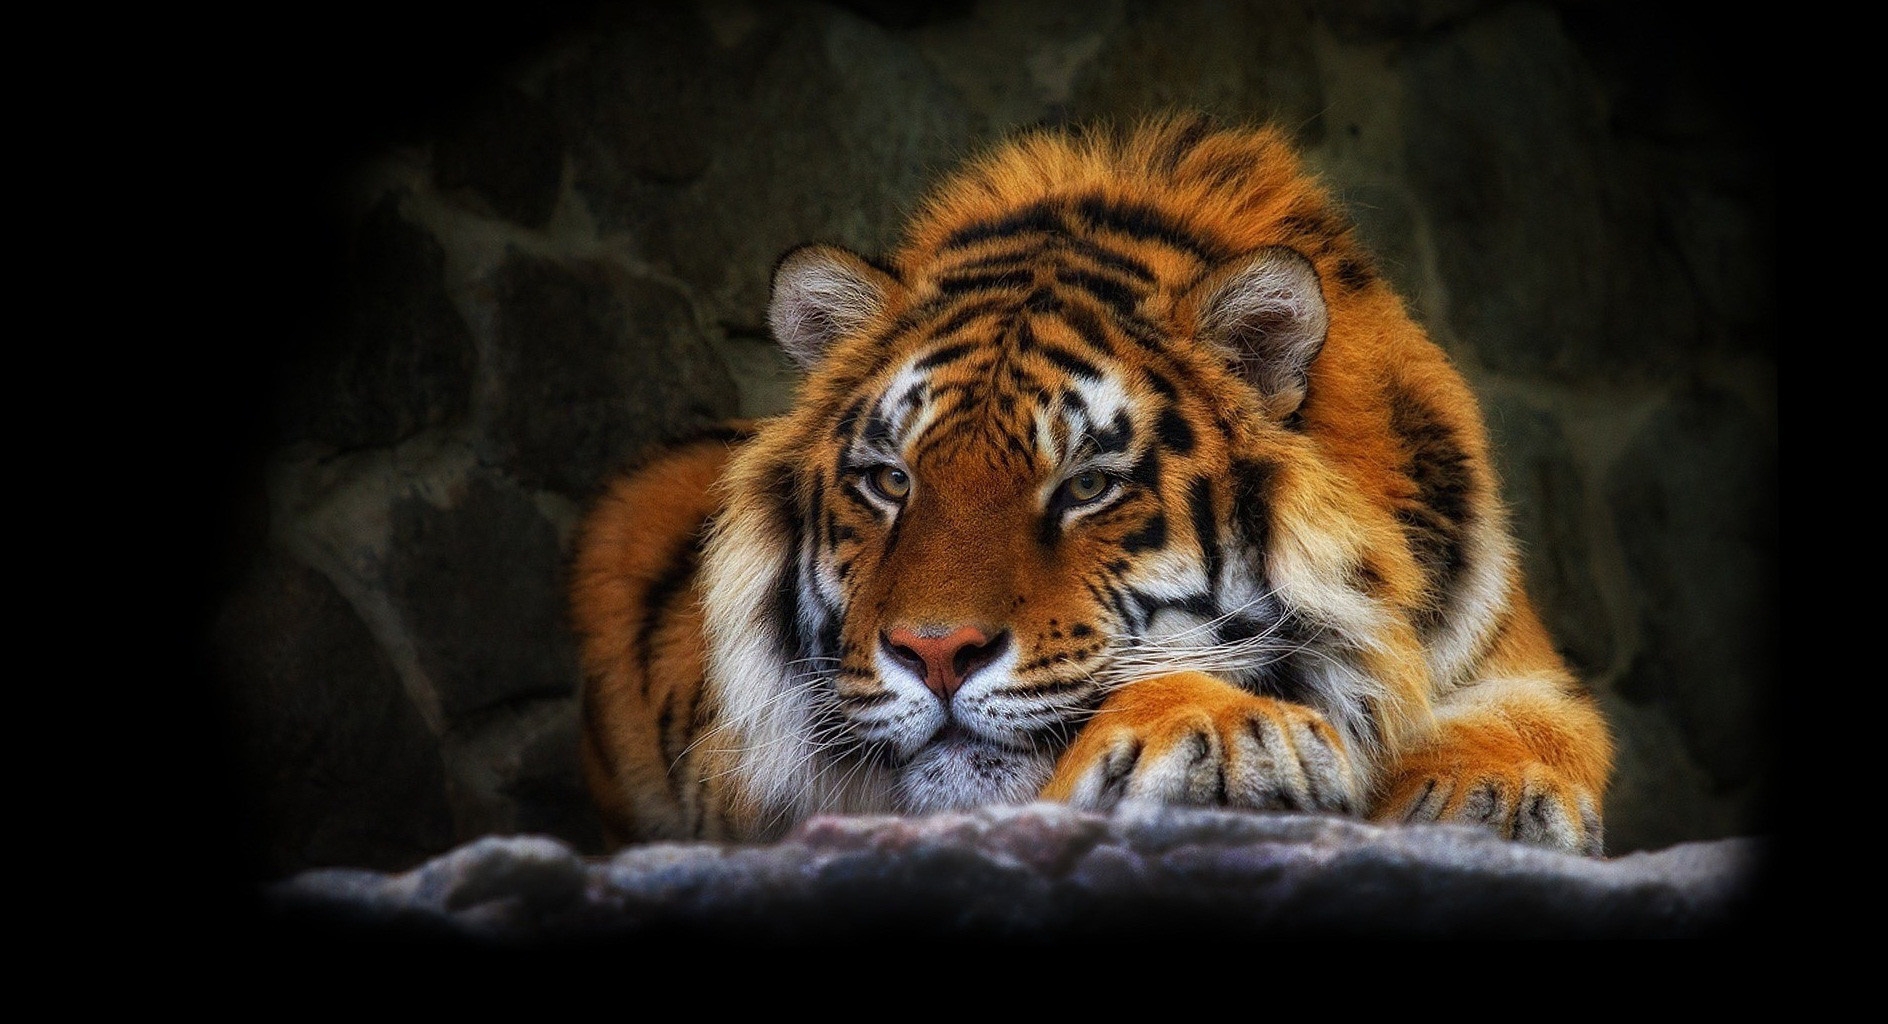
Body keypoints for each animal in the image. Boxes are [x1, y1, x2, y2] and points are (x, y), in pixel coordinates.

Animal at [566, 114, 1616, 857]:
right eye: (891, 481)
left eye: (1087, 487)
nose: (934, 653)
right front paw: (1225, 731)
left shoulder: (1511, 656)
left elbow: (1543, 723)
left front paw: (1485, 794)